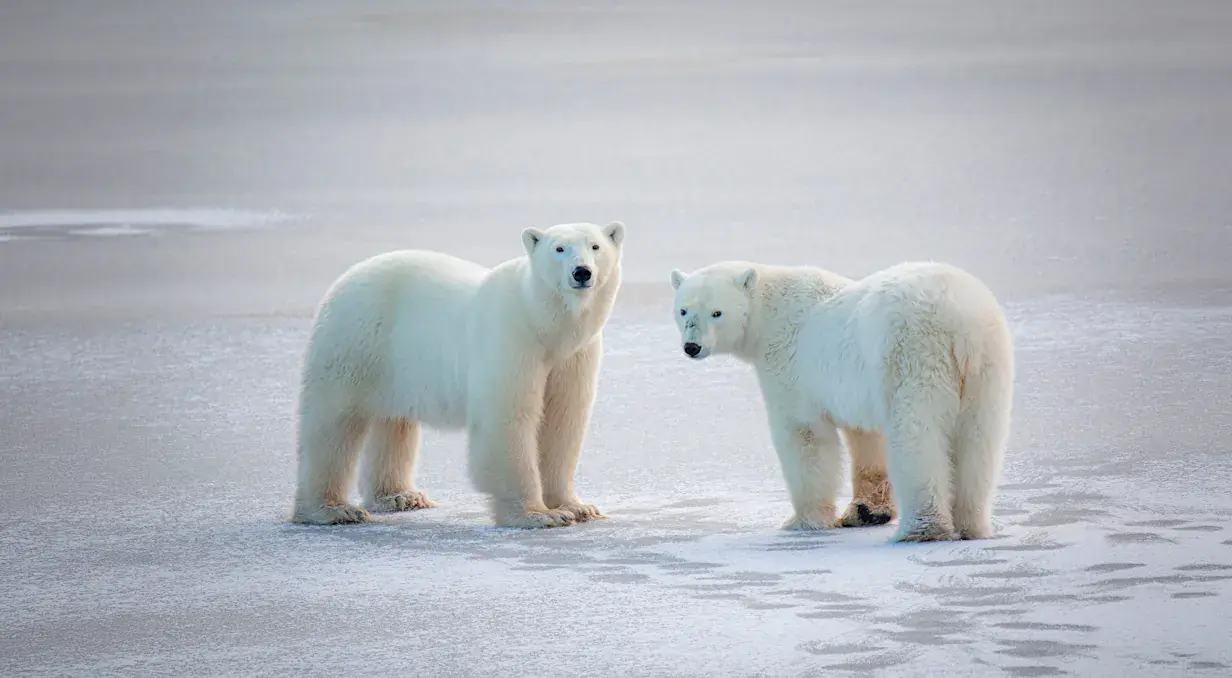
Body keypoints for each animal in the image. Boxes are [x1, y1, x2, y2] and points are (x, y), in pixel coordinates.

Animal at [291, 221, 626, 529]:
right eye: (559, 249)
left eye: (595, 246)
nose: (581, 272)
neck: (542, 322)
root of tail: (345, 277)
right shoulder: (511, 340)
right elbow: (508, 419)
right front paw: (537, 515)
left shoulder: (573, 357)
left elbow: (562, 421)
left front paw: (577, 507)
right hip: (356, 341)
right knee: (333, 424)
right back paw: (332, 510)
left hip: (397, 362)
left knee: (393, 423)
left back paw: (400, 496)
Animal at [669, 260, 1013, 542]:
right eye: (683, 310)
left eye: (717, 312)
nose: (692, 347)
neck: (767, 311)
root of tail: (961, 323)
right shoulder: (855, 387)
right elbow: (865, 436)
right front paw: (866, 512)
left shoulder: (792, 366)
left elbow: (804, 436)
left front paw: (803, 521)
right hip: (988, 365)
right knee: (981, 439)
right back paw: (971, 525)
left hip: (914, 354)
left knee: (917, 436)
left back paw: (923, 529)